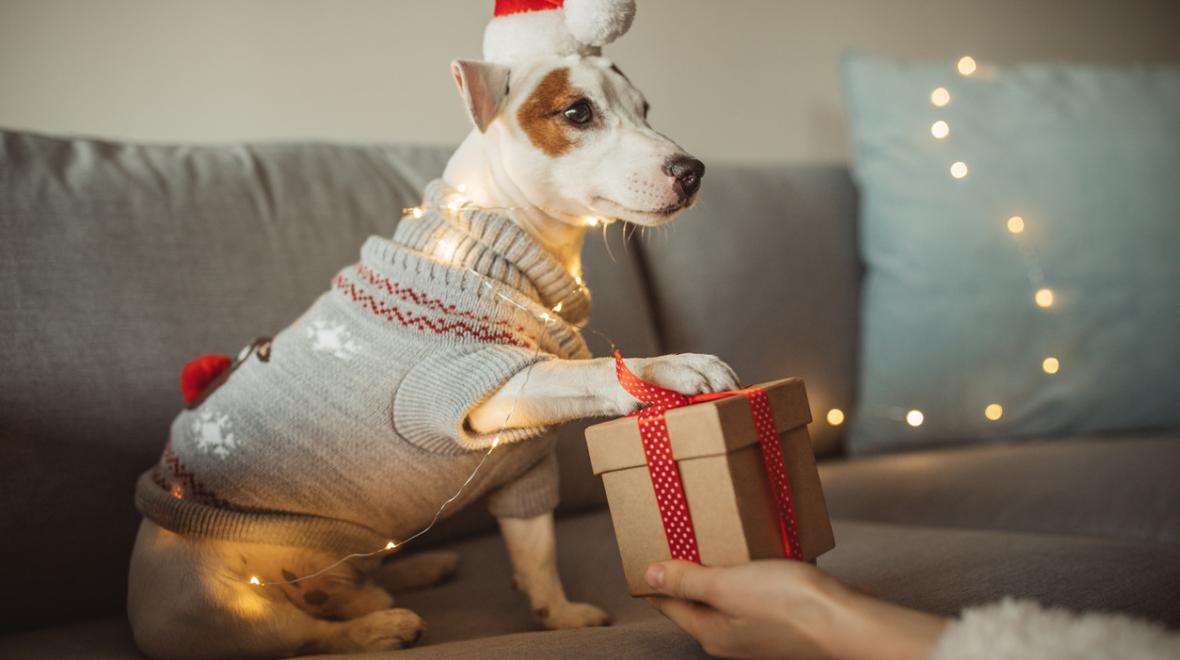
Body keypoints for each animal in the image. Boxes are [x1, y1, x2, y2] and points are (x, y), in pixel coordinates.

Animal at [129, 2, 736, 656]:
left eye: (645, 108)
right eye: (578, 112)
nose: (694, 170)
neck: (493, 241)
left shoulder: (522, 467)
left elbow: (536, 551)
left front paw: (558, 615)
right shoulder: (473, 387)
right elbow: (592, 369)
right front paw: (672, 366)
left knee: (350, 584)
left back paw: (404, 576)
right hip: (233, 605)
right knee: (313, 635)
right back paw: (381, 625)